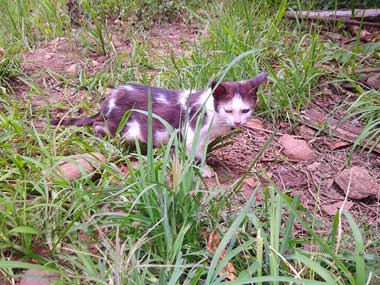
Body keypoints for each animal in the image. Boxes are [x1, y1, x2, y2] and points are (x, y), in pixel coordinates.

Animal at [52, 71, 268, 175]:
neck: (213, 115)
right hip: (126, 128)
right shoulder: (191, 132)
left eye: (245, 110)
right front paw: (205, 170)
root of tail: (105, 104)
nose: (238, 122)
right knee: (99, 127)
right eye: (229, 110)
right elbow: (196, 154)